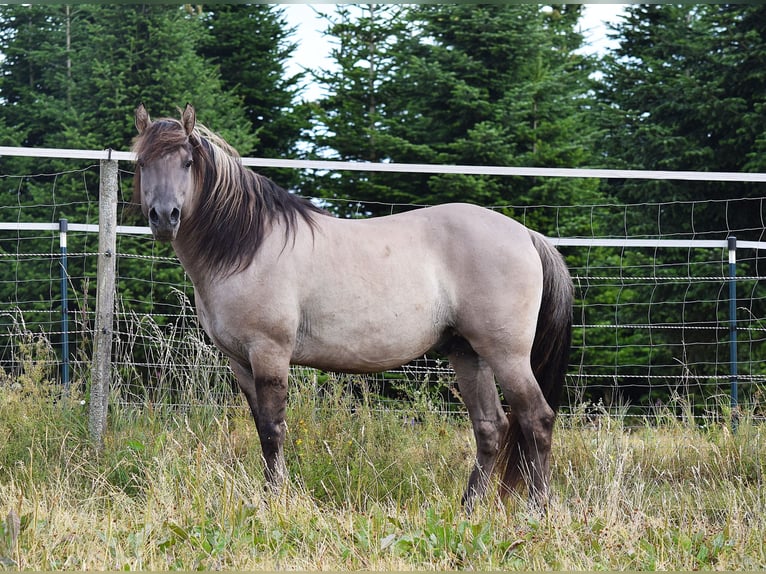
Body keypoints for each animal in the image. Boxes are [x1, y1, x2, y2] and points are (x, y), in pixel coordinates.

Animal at [131, 103, 574, 512]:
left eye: (187, 163)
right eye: (141, 162)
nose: (164, 217)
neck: (248, 246)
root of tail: (527, 235)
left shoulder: (269, 353)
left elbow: (273, 430)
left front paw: (276, 501)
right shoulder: (240, 361)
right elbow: (261, 429)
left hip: (506, 355)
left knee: (537, 419)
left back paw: (538, 509)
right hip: (468, 354)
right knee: (491, 427)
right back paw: (467, 508)